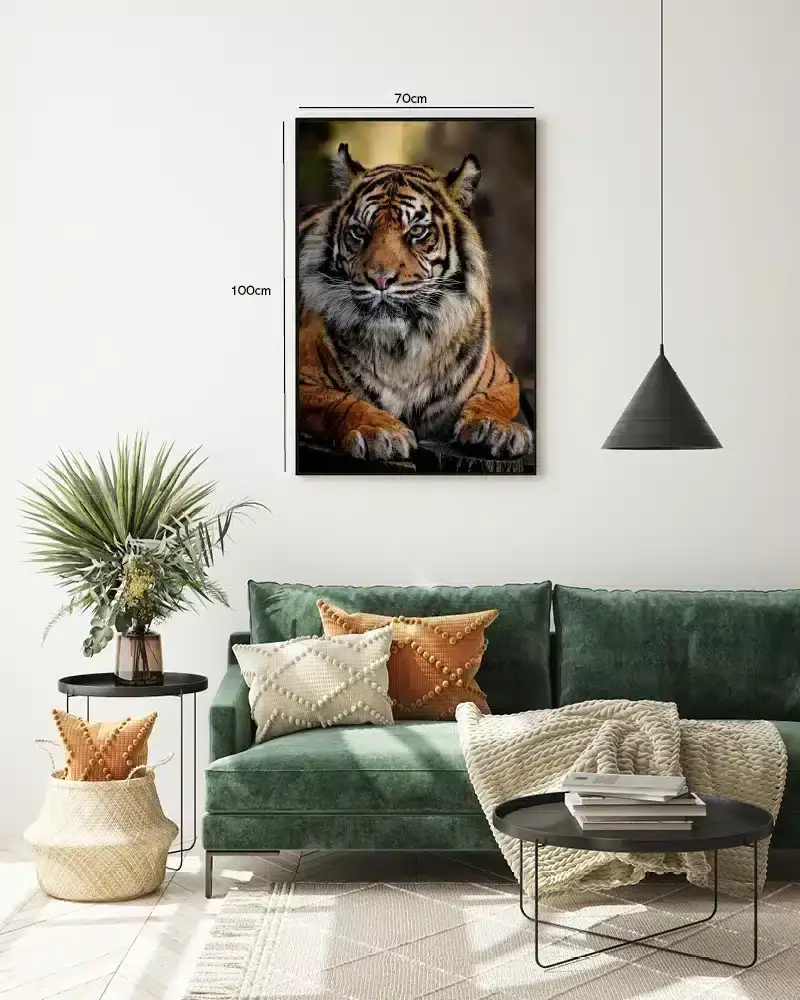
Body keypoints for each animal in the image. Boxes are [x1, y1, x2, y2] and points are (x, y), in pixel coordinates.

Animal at [298, 143, 533, 464]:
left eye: (417, 232)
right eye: (360, 232)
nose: (380, 279)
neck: (402, 348)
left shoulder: (503, 380)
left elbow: (492, 400)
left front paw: (496, 428)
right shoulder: (304, 379)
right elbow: (339, 401)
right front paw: (380, 431)